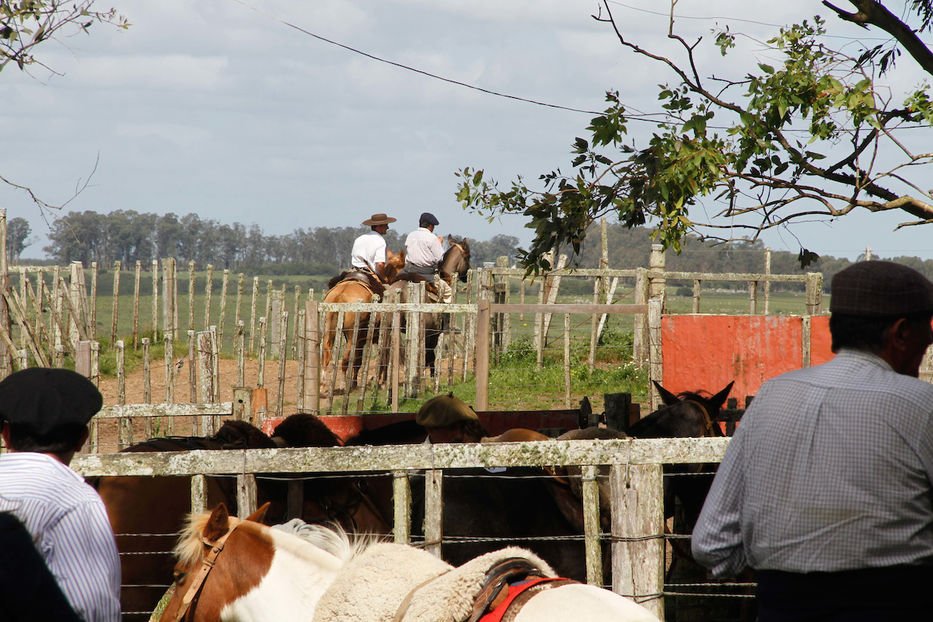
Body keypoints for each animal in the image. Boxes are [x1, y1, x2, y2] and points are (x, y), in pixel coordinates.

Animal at [322, 249, 406, 390]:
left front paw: (355, 382)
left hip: (332, 332)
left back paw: (322, 386)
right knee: (345, 360)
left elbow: (358, 360)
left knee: (326, 355)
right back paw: (344, 384)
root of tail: (340, 295)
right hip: (352, 335)